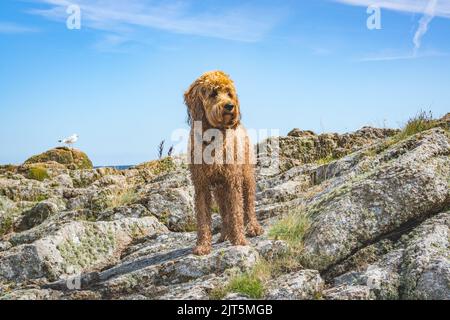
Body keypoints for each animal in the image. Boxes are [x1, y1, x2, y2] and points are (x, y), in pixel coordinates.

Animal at [184, 70, 264, 255]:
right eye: (213, 93)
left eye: (229, 93)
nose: (230, 106)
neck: (213, 137)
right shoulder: (201, 185)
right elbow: (203, 217)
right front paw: (203, 245)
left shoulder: (232, 180)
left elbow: (236, 211)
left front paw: (239, 240)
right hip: (219, 189)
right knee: (223, 211)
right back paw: (224, 234)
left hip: (246, 176)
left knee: (248, 205)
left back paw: (253, 227)